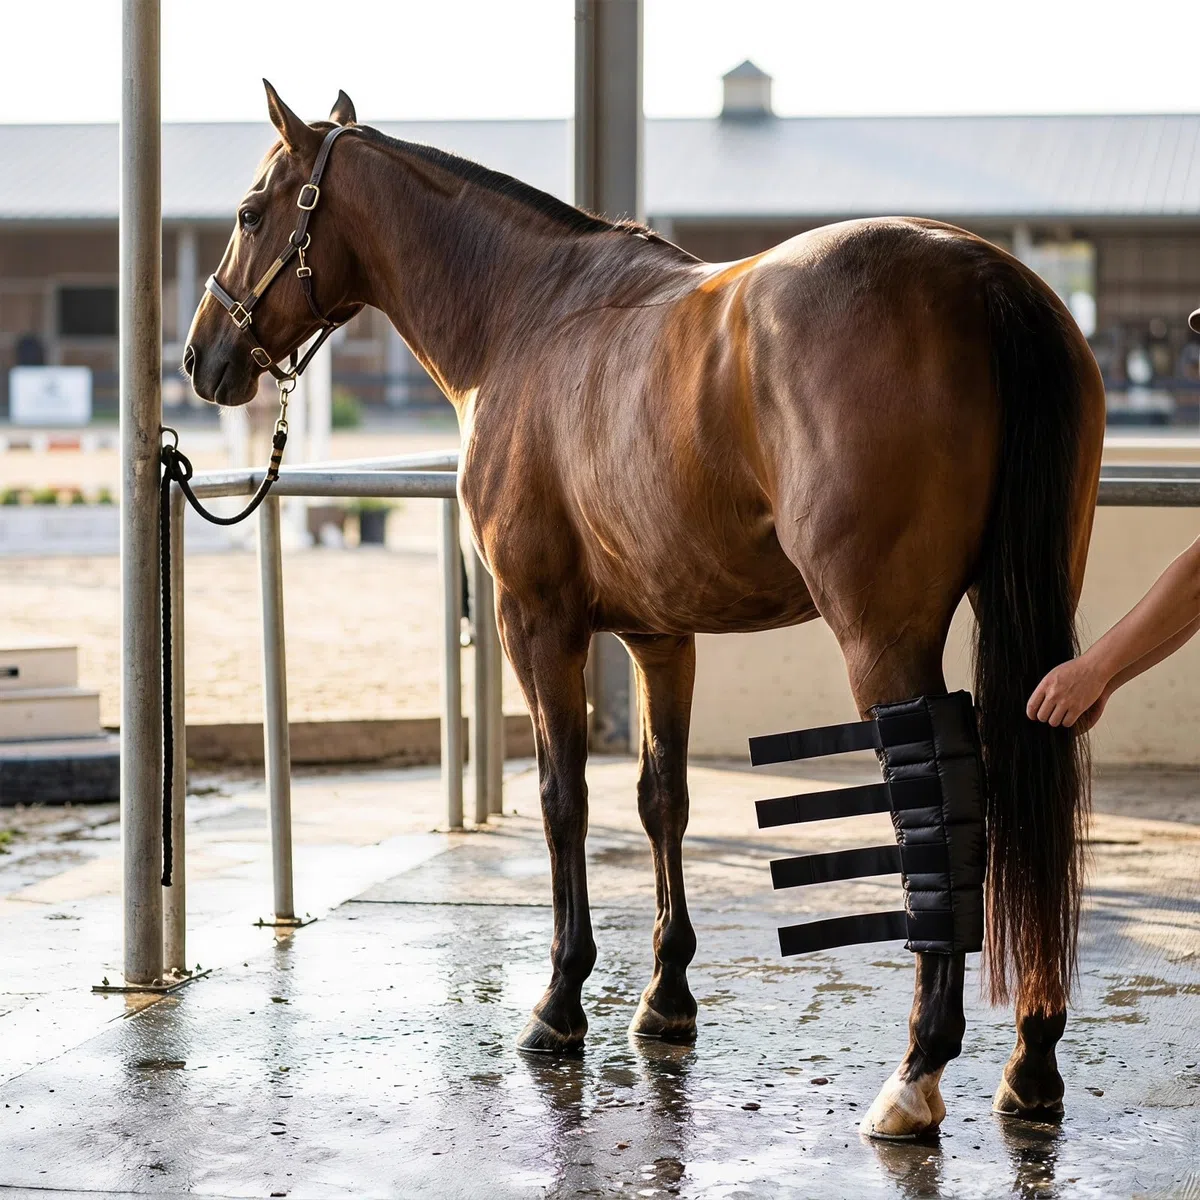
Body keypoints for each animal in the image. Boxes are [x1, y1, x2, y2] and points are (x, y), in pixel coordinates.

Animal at [183, 83, 1105, 1140]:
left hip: (884, 636)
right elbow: (663, 797)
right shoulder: (662, 635)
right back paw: (1032, 1059)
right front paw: (665, 998)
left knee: (942, 808)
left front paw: (559, 1001)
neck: (523, 315)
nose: (201, 356)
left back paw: (918, 1068)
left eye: (251, 213)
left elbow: (564, 797)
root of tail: (982, 276)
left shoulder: (537, 622)